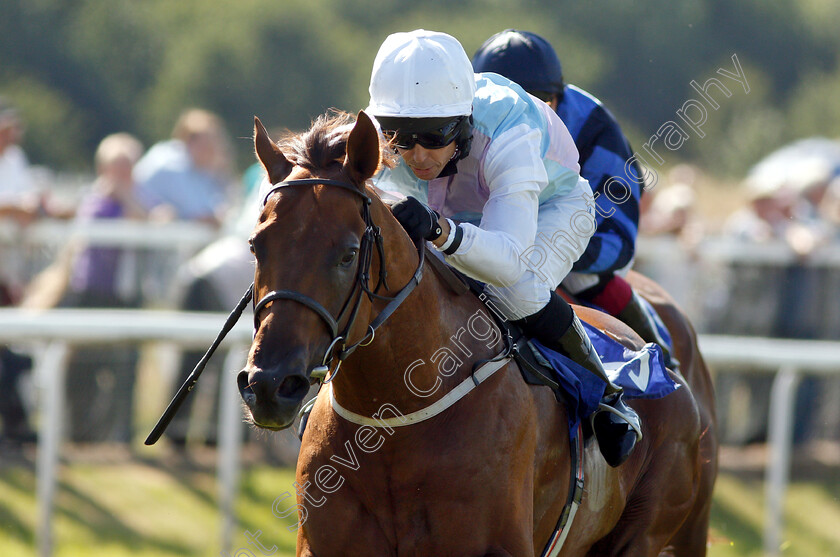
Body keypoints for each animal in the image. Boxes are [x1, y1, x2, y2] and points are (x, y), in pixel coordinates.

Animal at [240, 109, 720, 556]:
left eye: (348, 253)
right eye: (256, 245)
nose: (269, 385)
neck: (391, 422)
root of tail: (664, 365)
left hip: (650, 529)